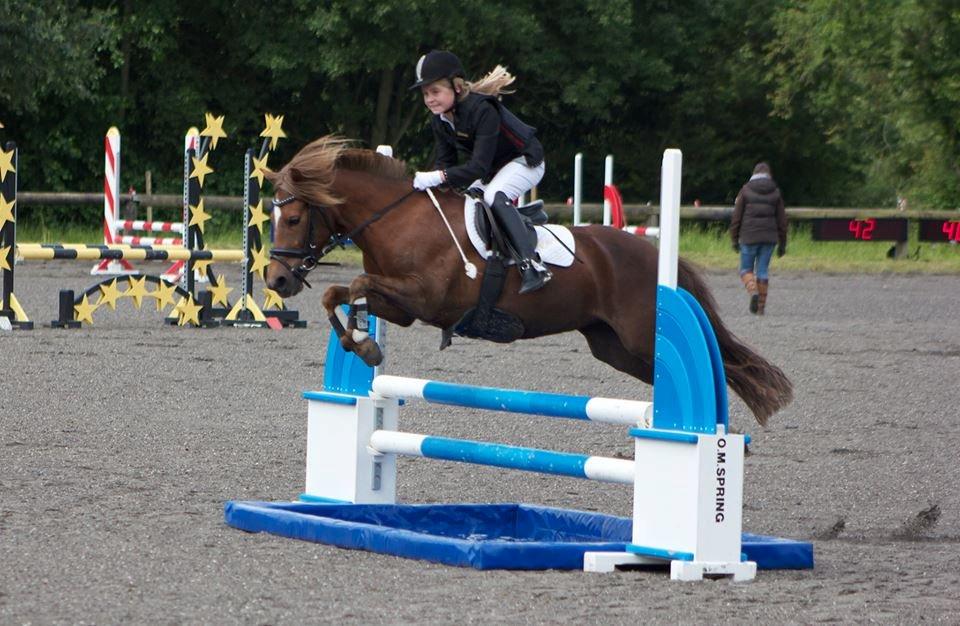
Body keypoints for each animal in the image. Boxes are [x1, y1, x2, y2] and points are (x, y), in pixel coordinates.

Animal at [265, 136, 792, 425]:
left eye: (292, 219)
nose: (276, 280)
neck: (395, 218)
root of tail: (651, 252)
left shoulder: (425, 298)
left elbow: (354, 286)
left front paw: (364, 343)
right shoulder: (403, 305)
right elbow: (339, 293)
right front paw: (363, 343)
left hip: (641, 336)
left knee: (725, 365)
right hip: (615, 346)